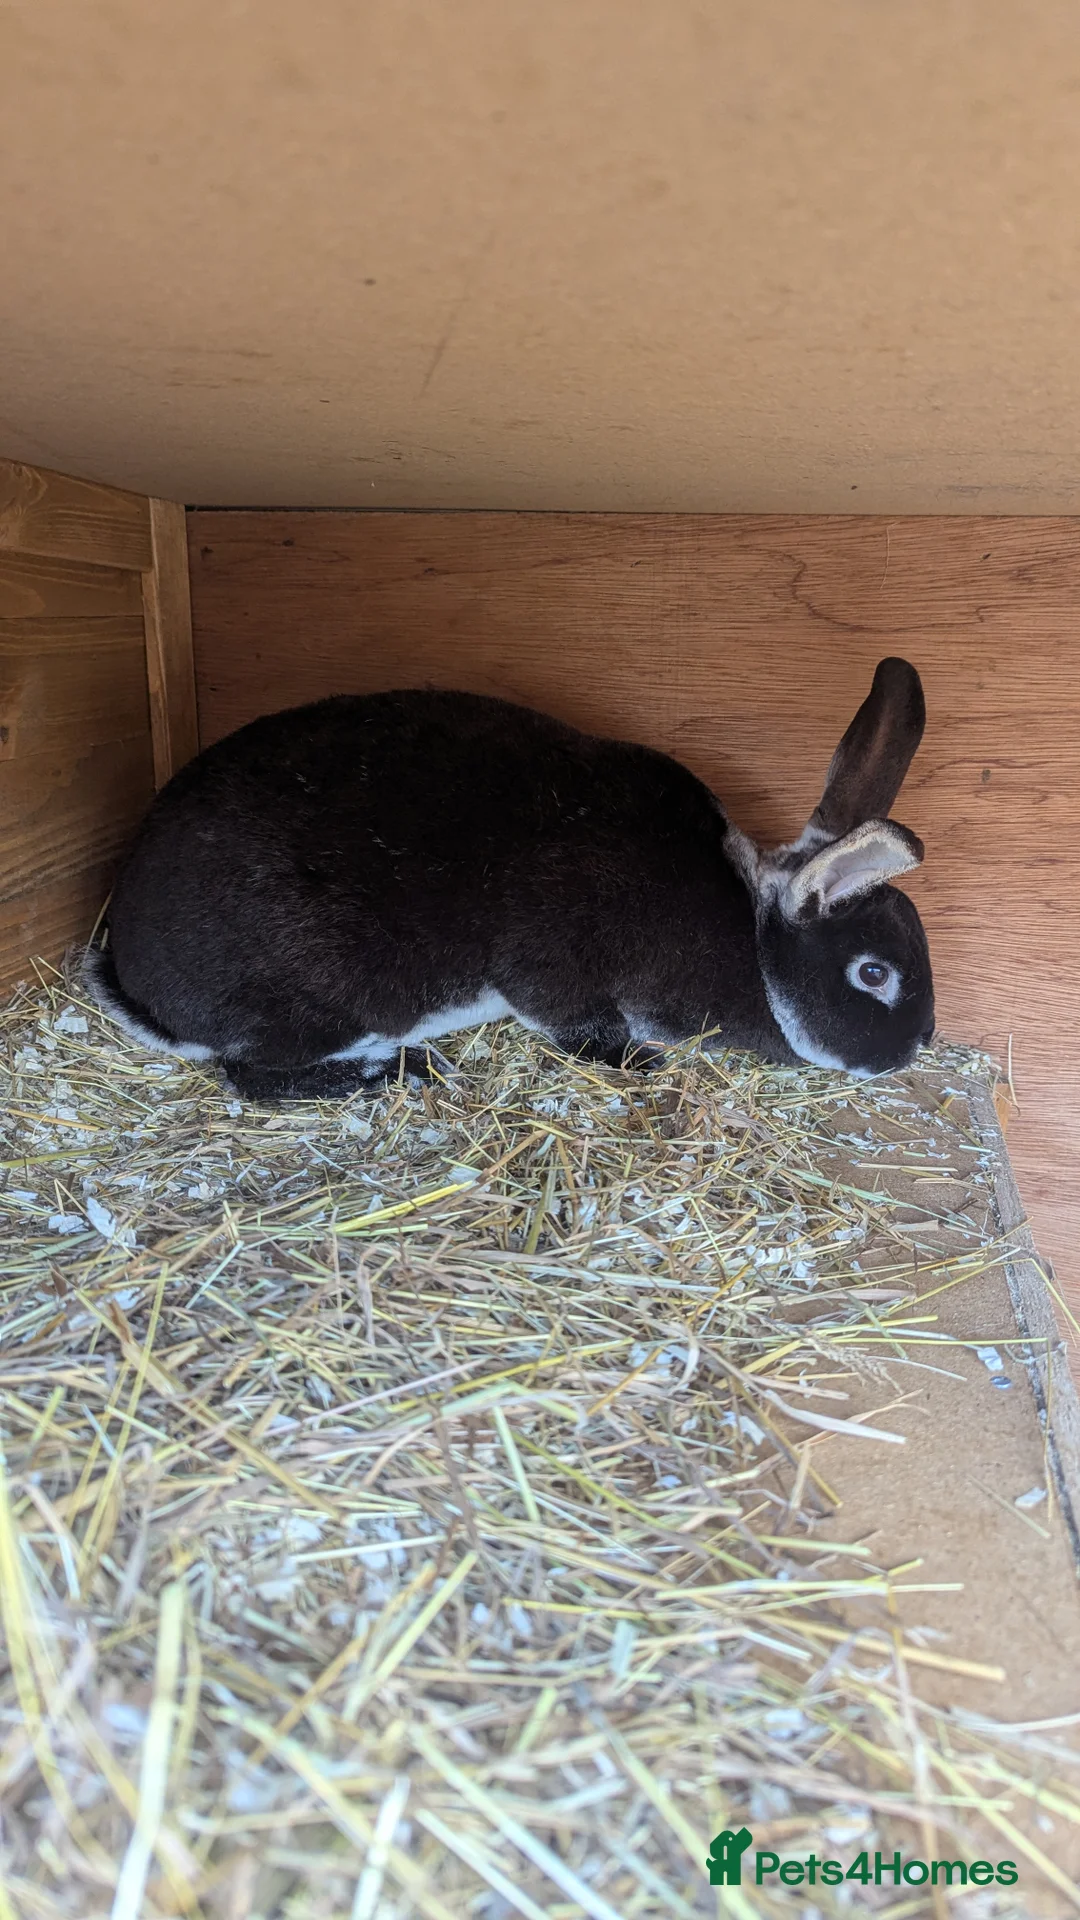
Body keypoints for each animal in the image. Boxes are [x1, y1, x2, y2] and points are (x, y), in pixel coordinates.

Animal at [84, 656, 934, 1102]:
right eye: (873, 974)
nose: (915, 1047)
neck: (749, 936)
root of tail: (138, 983)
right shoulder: (560, 963)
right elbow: (575, 1022)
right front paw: (638, 1063)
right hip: (316, 998)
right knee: (251, 1072)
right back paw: (396, 1071)